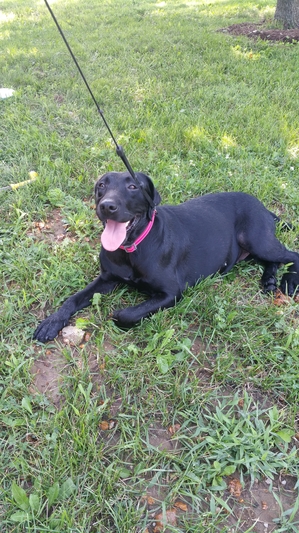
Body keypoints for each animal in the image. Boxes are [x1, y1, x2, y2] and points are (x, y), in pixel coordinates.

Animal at [34, 172, 299, 342]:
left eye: (133, 186)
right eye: (101, 185)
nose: (107, 206)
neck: (132, 249)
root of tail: (264, 208)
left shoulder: (171, 293)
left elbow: (127, 314)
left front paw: (118, 314)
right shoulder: (107, 279)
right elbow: (73, 299)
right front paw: (51, 323)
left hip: (256, 239)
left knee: (291, 255)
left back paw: (288, 282)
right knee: (274, 260)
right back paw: (269, 280)